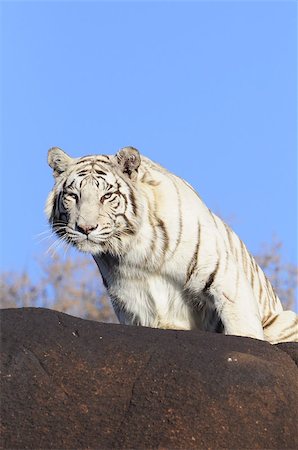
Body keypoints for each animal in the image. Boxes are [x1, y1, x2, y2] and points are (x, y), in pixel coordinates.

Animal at [45, 146, 296, 342]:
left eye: (106, 196)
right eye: (73, 196)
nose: (85, 228)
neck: (133, 248)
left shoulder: (224, 277)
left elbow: (242, 326)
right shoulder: (131, 301)